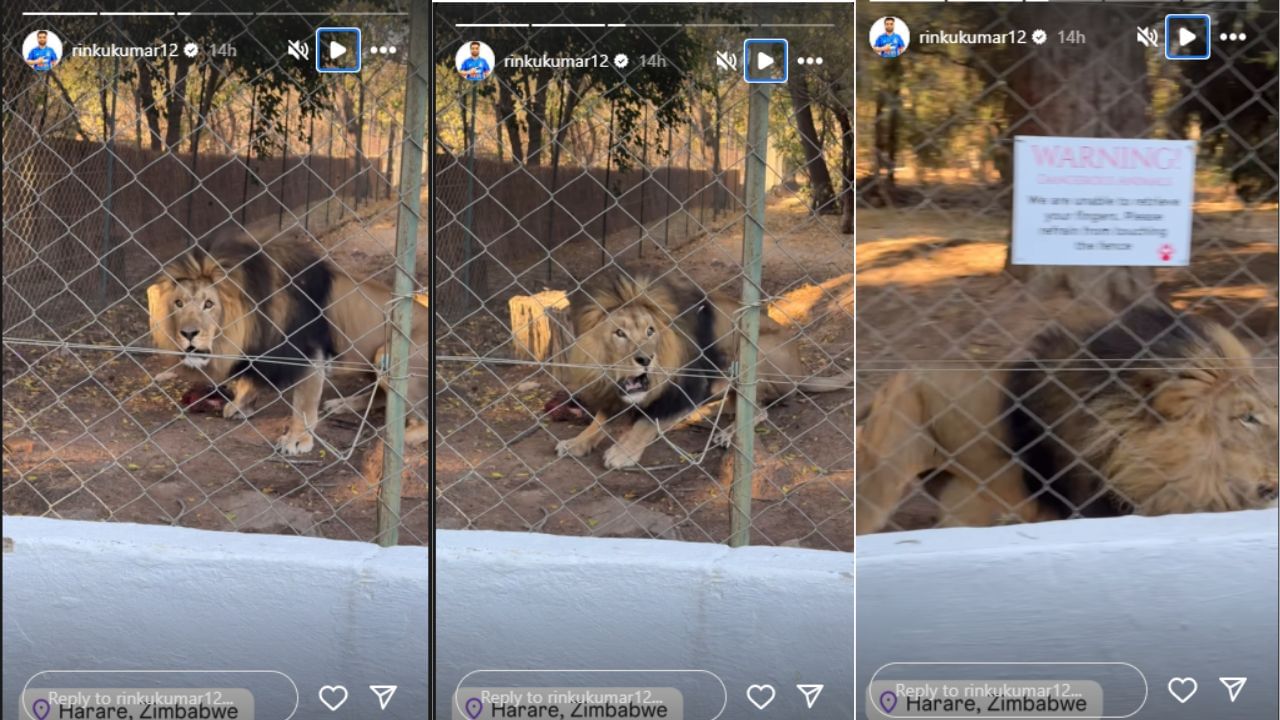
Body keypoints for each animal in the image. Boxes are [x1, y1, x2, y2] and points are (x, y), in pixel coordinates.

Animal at [148, 233, 430, 450]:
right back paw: (341, 404)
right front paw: (240, 405)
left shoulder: (309, 356)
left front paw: (296, 440)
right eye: (178, 303)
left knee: (422, 419)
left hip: (387, 354)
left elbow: (303, 405)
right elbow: (249, 380)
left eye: (209, 304)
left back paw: (398, 438)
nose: (188, 333)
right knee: (381, 396)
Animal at [550, 267, 849, 466]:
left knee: (759, 409)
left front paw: (622, 453)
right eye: (619, 333)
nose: (646, 359)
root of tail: (800, 372)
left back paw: (726, 432)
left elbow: (646, 423)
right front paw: (577, 442)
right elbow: (600, 420)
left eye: (650, 331)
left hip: (753, 348)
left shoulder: (688, 387)